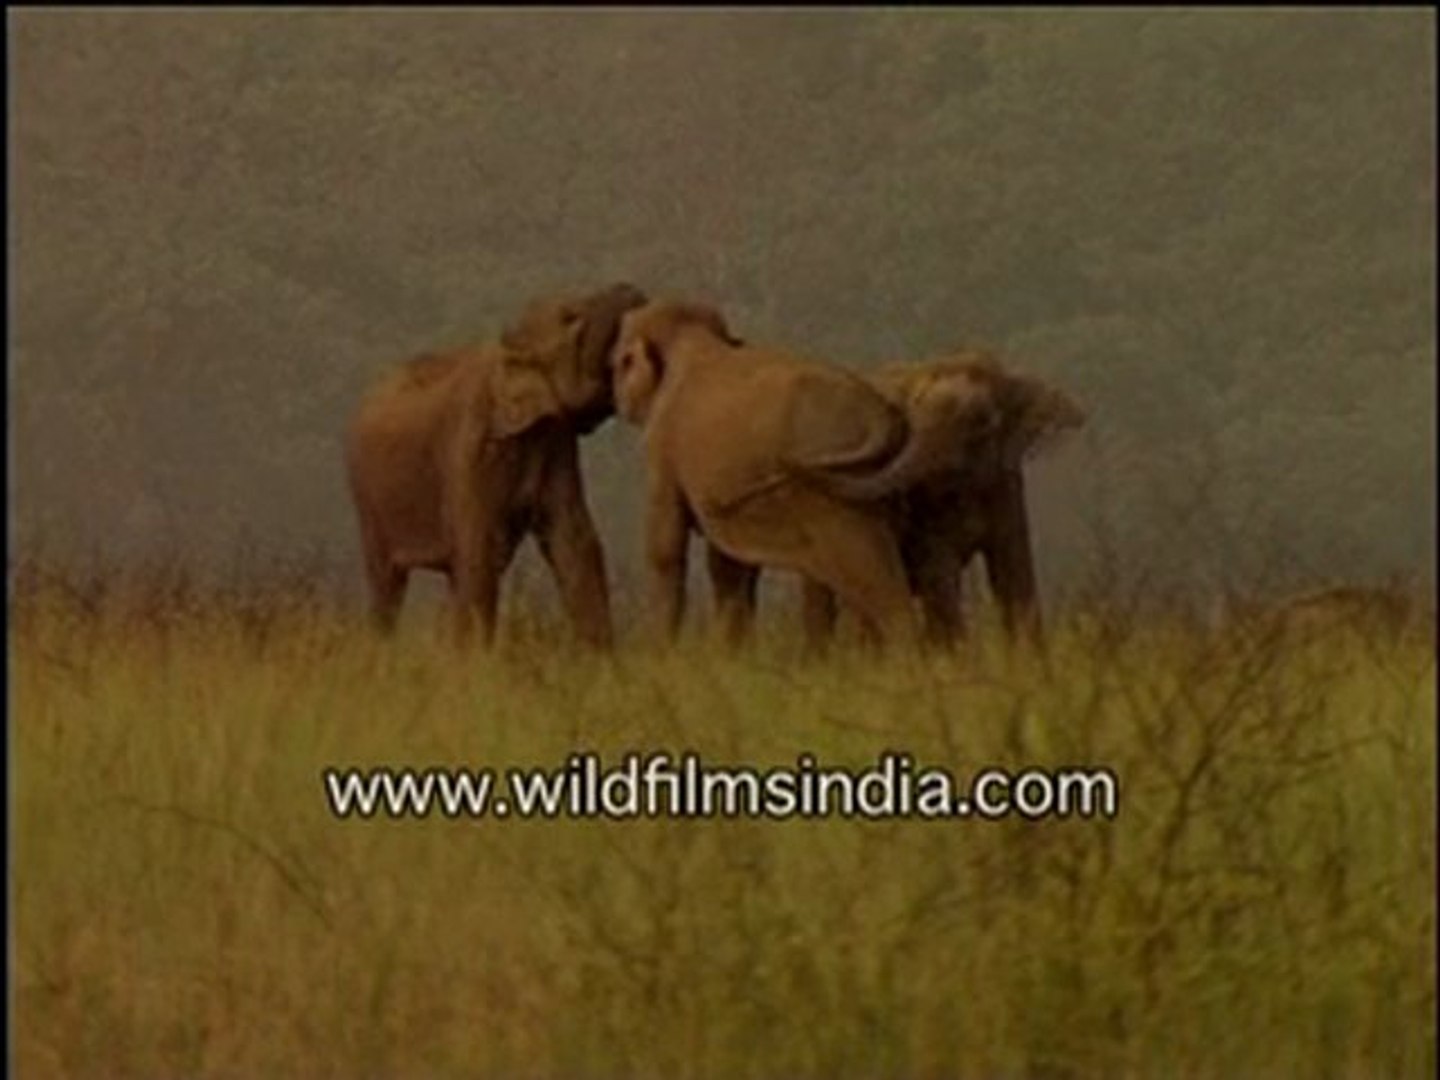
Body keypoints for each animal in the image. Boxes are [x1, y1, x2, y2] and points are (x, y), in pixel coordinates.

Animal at [344, 282, 647, 647]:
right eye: (570, 317)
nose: (630, 288)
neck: (508, 350)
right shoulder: (470, 446)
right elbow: (479, 551)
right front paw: (474, 660)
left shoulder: (557, 444)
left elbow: (573, 541)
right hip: (367, 496)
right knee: (388, 580)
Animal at [609, 298, 1023, 647]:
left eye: (618, 363)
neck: (697, 342)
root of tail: (882, 414)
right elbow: (728, 564)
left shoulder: (661, 445)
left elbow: (665, 548)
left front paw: (662, 656)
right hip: (878, 489)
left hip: (837, 508)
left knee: (873, 582)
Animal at [706, 350, 1086, 651]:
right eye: (910, 419)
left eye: (981, 424)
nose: (784, 462)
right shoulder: (924, 505)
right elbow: (940, 570)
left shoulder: (1004, 484)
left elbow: (1013, 573)